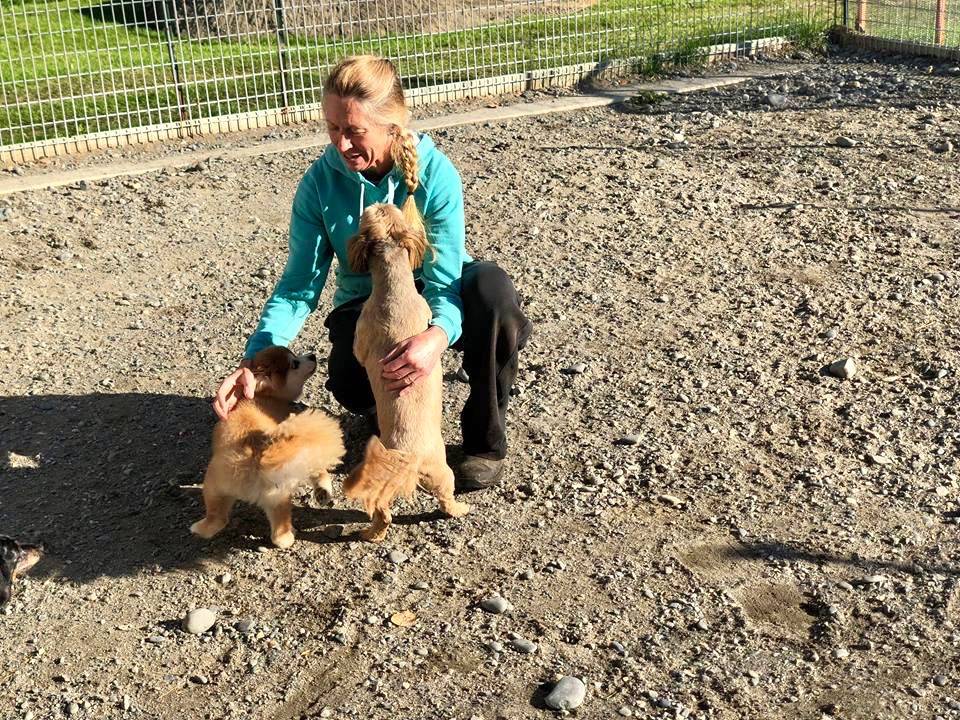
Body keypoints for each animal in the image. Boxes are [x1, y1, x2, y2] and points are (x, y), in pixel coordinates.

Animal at [191, 346, 344, 548]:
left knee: (218, 519)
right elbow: (319, 470)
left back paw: (199, 529)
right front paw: (323, 490)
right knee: (279, 533)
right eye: (294, 363)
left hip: (217, 487)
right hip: (277, 492)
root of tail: (259, 449)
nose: (312, 356)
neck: (263, 395)